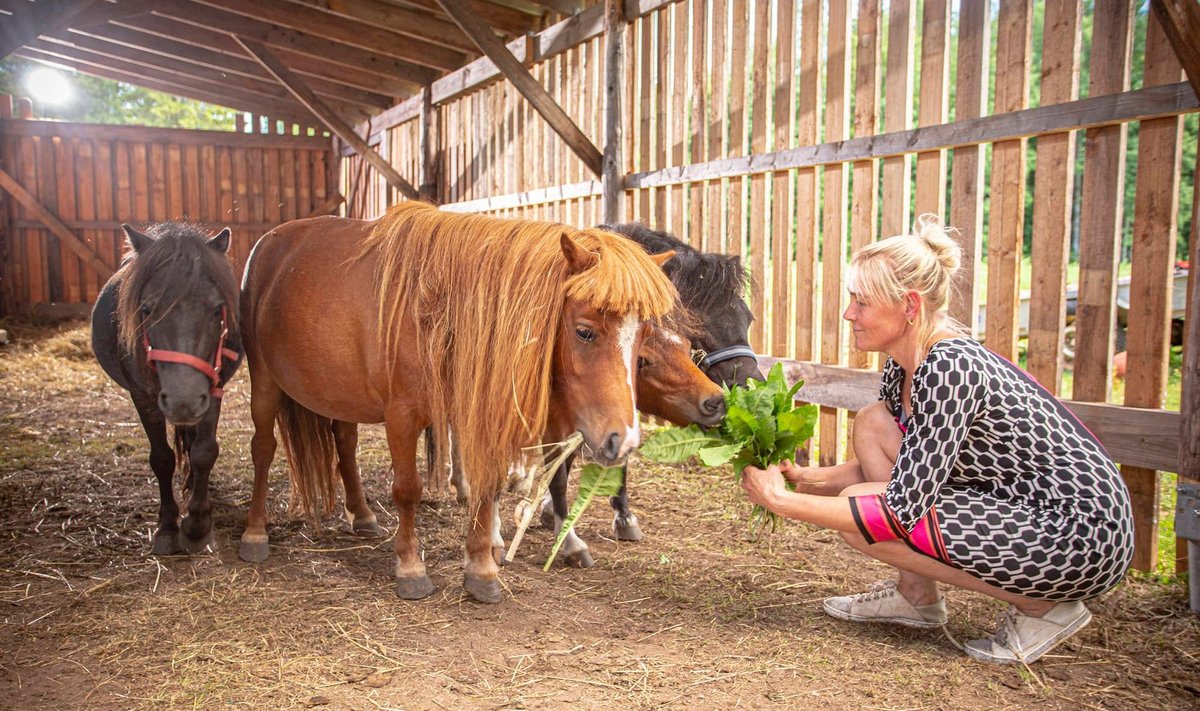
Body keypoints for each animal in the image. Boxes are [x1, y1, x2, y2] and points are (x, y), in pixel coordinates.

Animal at [88, 222, 243, 554]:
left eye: (217, 309)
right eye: (146, 309)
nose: (183, 401)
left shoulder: (213, 389)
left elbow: (203, 451)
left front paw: (197, 524)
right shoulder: (142, 396)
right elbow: (161, 458)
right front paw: (169, 526)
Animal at [236, 202, 676, 602]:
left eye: (643, 338)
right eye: (585, 332)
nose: (624, 440)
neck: (439, 309)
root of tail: (269, 244)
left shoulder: (476, 410)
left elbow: (487, 487)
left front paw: (481, 568)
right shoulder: (402, 416)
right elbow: (407, 489)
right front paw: (411, 567)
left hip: (340, 393)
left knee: (344, 445)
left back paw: (361, 515)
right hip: (265, 381)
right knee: (264, 448)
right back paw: (254, 532)